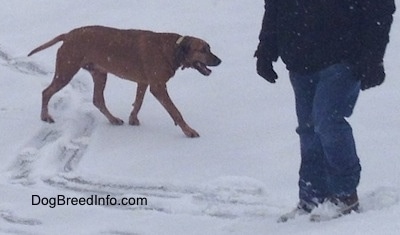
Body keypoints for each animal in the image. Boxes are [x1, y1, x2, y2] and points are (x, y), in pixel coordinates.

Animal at [28, 25, 222, 138]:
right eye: (202, 50)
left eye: (209, 48)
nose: (219, 61)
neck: (173, 49)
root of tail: (67, 35)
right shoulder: (158, 86)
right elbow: (175, 111)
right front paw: (188, 131)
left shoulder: (143, 82)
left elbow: (138, 103)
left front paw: (133, 119)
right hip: (66, 71)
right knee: (46, 92)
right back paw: (45, 117)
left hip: (99, 73)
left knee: (98, 100)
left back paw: (113, 119)